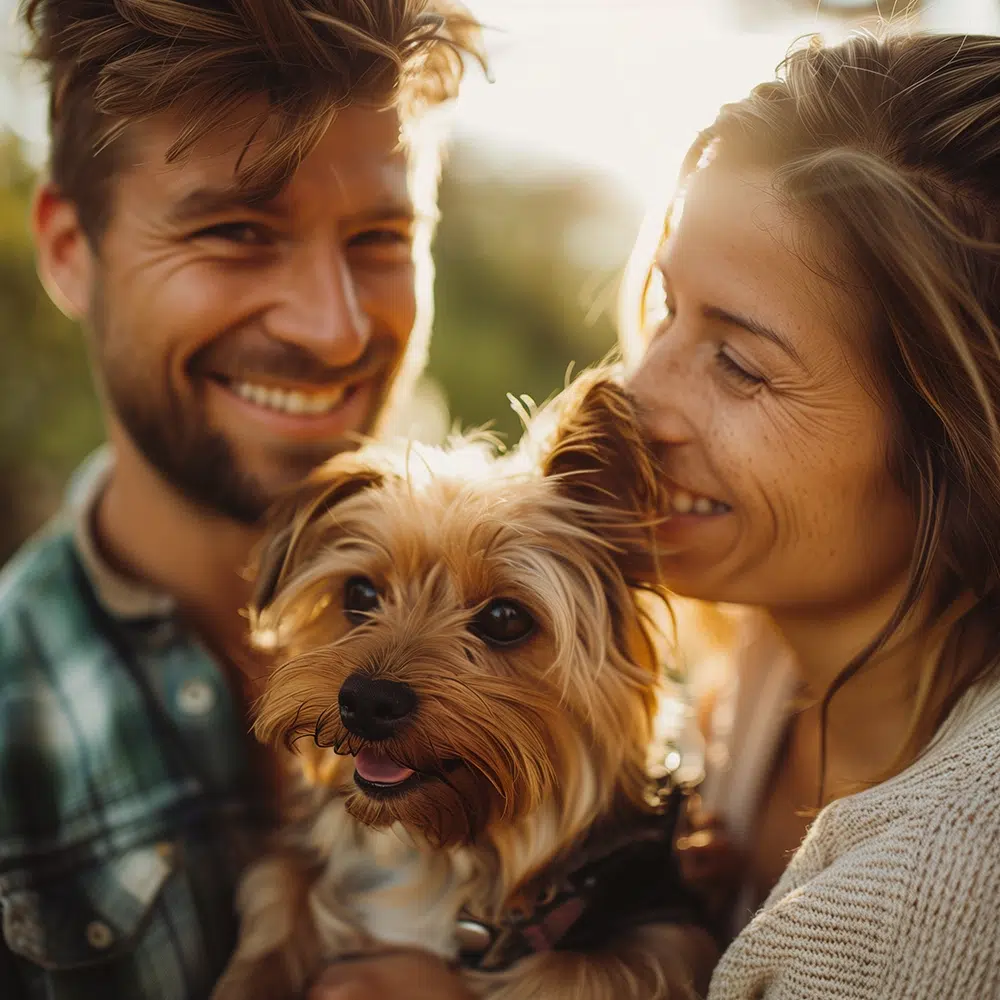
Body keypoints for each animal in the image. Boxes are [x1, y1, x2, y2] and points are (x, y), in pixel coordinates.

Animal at [213, 376, 712, 1000]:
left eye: (505, 618)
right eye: (360, 594)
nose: (366, 702)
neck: (444, 857)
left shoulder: (658, 928)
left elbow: (571, 972)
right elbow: (278, 891)